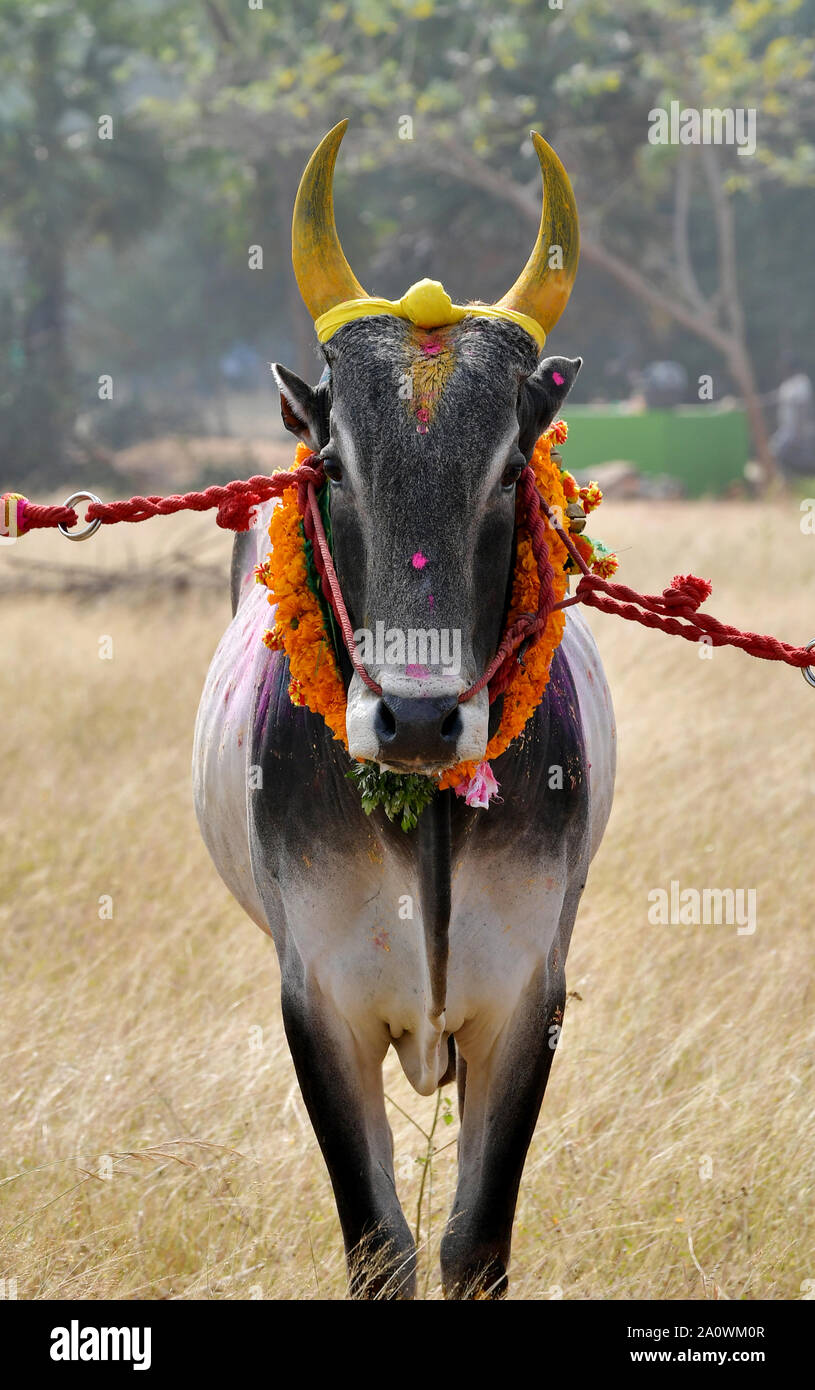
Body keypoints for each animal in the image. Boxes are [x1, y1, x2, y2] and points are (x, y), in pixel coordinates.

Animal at [193, 122, 615, 1299]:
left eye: (511, 468)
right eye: (334, 465)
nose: (420, 724)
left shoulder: (526, 1000)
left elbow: (474, 1245)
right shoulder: (320, 1007)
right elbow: (380, 1243)